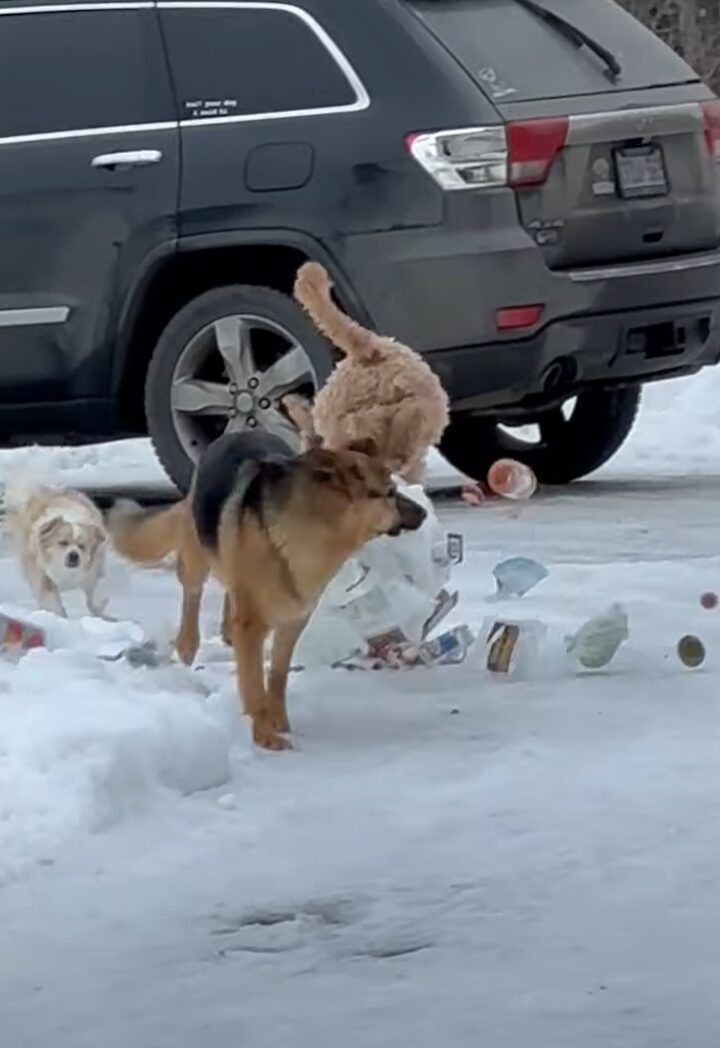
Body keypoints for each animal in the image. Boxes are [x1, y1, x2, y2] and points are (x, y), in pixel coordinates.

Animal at [4, 484, 108, 620]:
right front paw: (58, 615)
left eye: (82, 546)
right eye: (63, 543)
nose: (74, 555)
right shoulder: (43, 576)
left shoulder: (87, 577)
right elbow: (51, 599)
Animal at [110, 429, 425, 750]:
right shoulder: (252, 626)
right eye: (389, 493)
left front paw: (278, 721)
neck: (315, 527)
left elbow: (277, 676)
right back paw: (188, 643)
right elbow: (252, 686)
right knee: (192, 595)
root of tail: (235, 432)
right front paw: (264, 736)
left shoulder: (292, 622)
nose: (424, 513)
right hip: (197, 556)